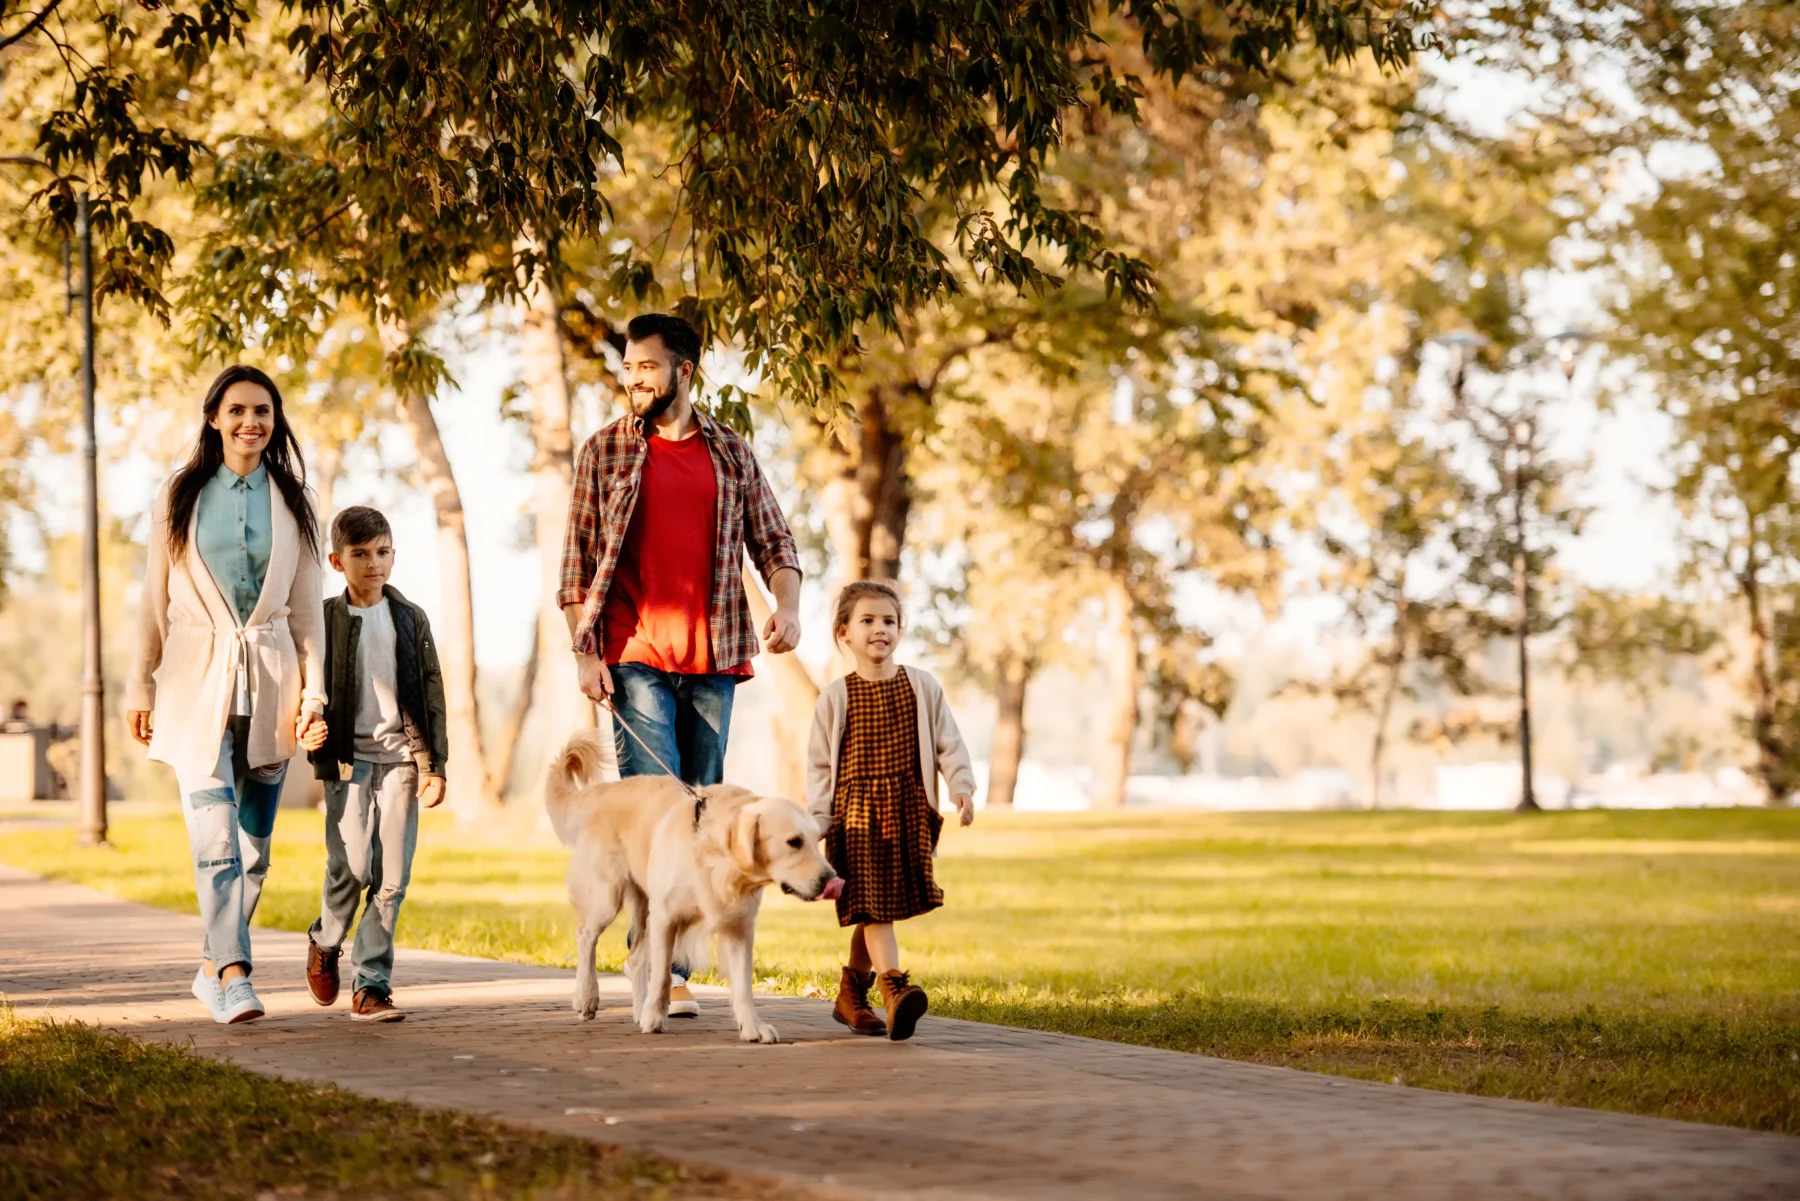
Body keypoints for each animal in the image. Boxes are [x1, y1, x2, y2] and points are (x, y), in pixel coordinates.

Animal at [543, 727, 838, 1044]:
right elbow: (661, 975)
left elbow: (743, 985)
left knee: (636, 958)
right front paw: (655, 1018)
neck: (715, 859)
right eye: (794, 842)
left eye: (816, 840)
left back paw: (638, 1009)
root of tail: (607, 790)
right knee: (586, 935)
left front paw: (753, 1027)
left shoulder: (738, 925)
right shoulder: (666, 916)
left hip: (643, 905)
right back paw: (587, 998)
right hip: (607, 896)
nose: (831, 880)